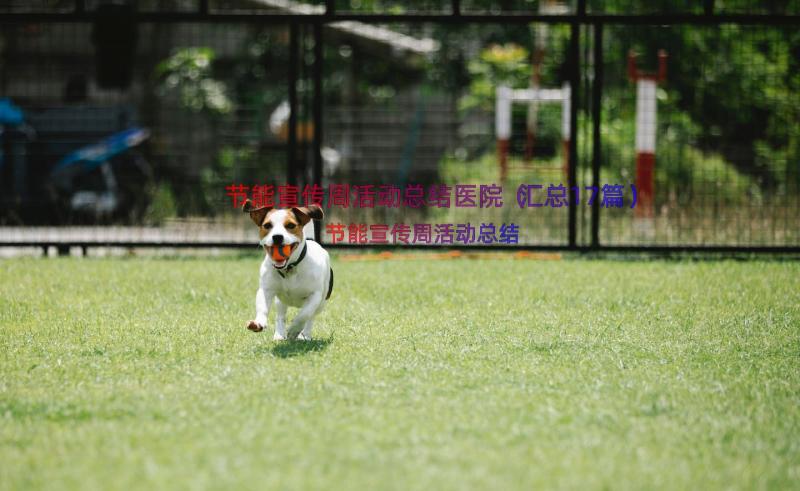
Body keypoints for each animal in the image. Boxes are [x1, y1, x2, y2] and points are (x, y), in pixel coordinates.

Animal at [242, 200, 332, 342]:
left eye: (290, 225)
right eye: (267, 225)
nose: (277, 237)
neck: (289, 269)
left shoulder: (315, 295)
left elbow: (304, 314)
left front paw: (294, 329)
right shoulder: (266, 290)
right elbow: (262, 308)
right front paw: (259, 323)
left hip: (322, 302)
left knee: (311, 317)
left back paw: (305, 335)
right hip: (281, 301)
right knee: (281, 315)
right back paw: (279, 334)